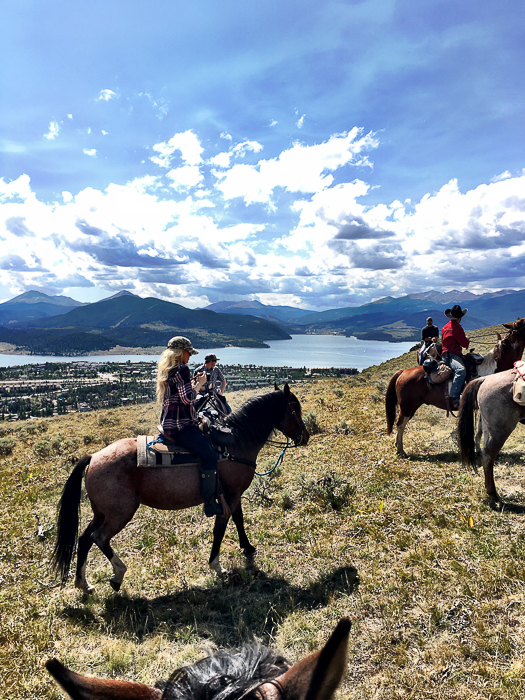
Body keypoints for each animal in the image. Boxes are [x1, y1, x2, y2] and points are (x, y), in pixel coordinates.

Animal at [51, 382, 310, 592]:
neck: (236, 442)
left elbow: (238, 519)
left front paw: (248, 549)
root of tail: (94, 457)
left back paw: (84, 584)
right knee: (99, 537)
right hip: (119, 513)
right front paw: (217, 565)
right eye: (294, 409)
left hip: (101, 512)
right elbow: (221, 527)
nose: (305, 436)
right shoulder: (229, 496)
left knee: (84, 538)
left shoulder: (233, 495)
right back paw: (118, 575)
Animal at [382, 320, 524, 456]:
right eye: (522, 323)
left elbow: (479, 430)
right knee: (400, 424)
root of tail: (403, 371)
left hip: (411, 406)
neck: (491, 369)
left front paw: (478, 450)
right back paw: (401, 451)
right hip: (407, 406)